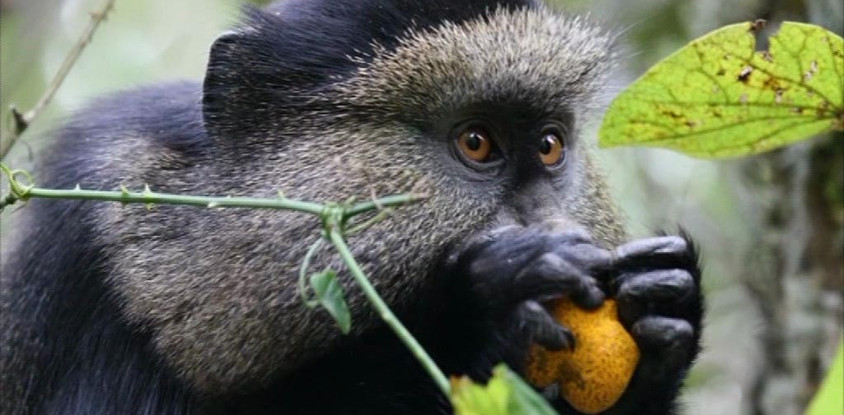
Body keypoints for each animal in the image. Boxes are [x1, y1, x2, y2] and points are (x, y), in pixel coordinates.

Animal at [0, 0, 704, 414]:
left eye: (550, 145)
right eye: (476, 142)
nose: (554, 227)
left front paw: (666, 309)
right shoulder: (99, 265)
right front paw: (474, 308)